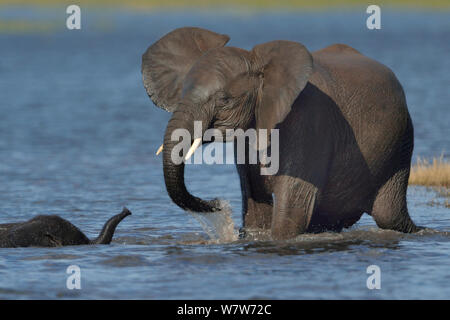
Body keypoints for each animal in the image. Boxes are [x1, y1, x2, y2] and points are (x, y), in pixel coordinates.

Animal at [142, 27, 420, 239]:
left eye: (224, 100)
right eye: (181, 93)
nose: (217, 204)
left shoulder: (309, 122)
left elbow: (292, 209)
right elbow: (256, 207)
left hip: (401, 143)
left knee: (388, 216)